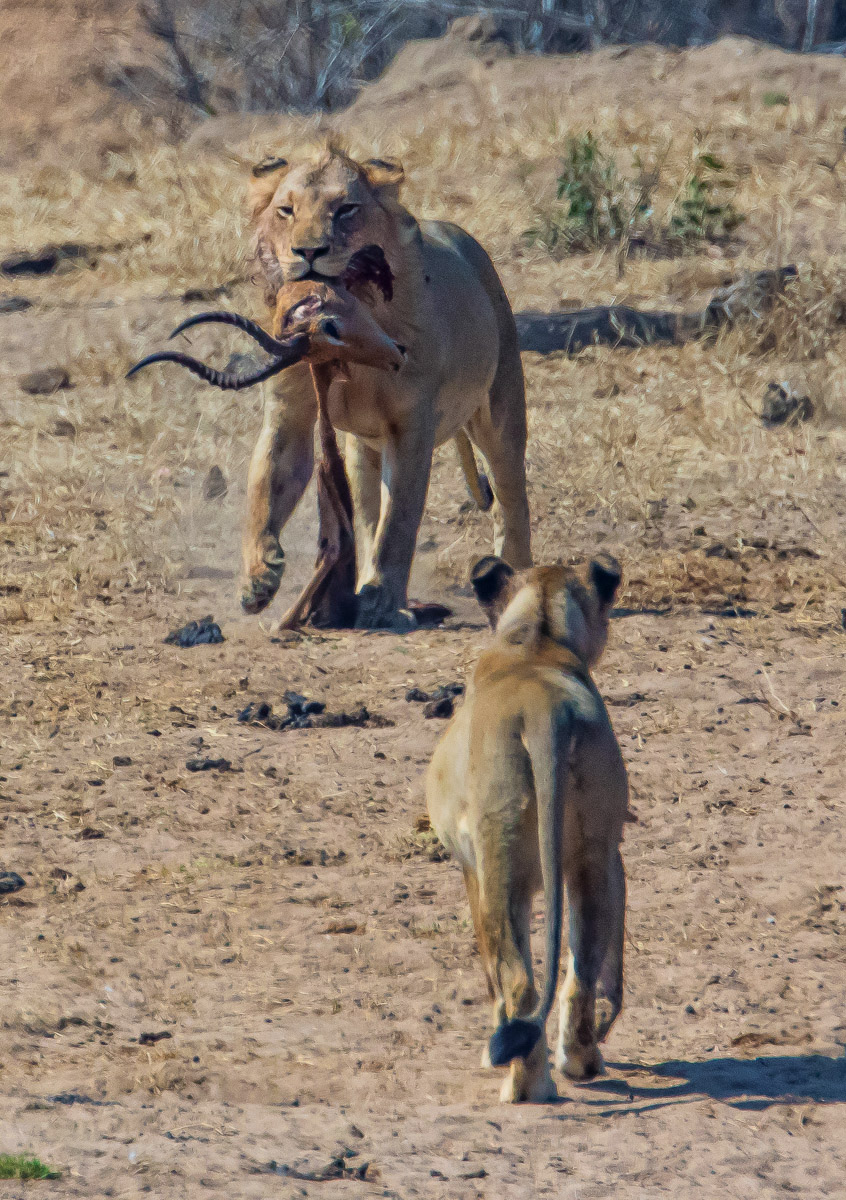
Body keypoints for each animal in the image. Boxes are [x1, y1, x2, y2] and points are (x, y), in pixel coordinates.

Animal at [243, 141, 531, 629]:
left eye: (346, 210)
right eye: (286, 210)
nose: (308, 251)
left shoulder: (410, 426)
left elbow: (399, 521)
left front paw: (380, 599)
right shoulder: (290, 414)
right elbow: (265, 490)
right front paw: (258, 576)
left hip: (499, 411)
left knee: (511, 500)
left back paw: (519, 582)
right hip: (363, 448)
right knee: (363, 512)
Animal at [425, 553, 628, 1102]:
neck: (536, 640)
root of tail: (545, 712)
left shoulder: (470, 870)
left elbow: (490, 970)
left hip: (501, 861)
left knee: (519, 982)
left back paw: (524, 1085)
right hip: (594, 852)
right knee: (583, 968)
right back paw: (579, 1062)